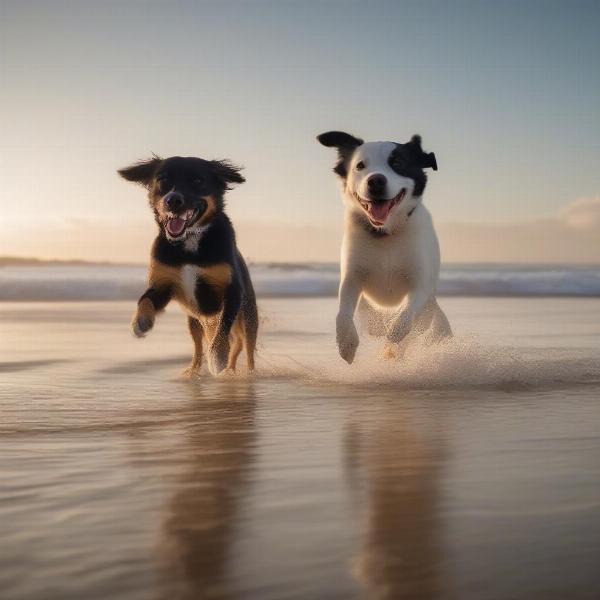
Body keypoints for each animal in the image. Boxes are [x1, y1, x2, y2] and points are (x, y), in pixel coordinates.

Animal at [118, 157, 258, 378]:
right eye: (162, 179)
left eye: (198, 180)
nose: (173, 200)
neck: (190, 241)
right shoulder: (163, 284)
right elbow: (145, 299)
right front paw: (140, 321)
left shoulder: (232, 292)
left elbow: (223, 328)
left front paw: (218, 356)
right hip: (193, 322)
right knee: (199, 346)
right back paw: (194, 370)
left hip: (248, 318)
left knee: (246, 346)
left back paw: (248, 373)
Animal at [318, 132, 450, 364]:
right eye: (360, 165)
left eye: (397, 163)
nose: (376, 180)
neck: (385, 234)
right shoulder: (352, 277)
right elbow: (343, 311)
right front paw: (346, 343)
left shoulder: (420, 283)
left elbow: (407, 311)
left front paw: (396, 331)